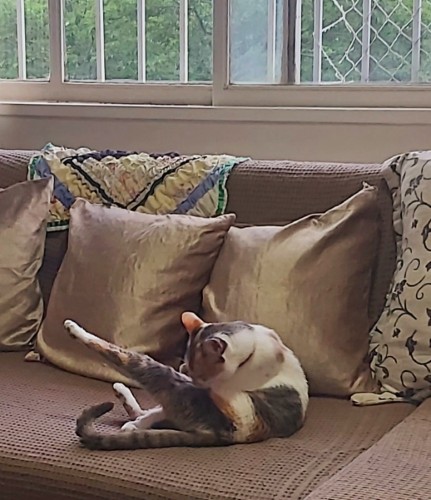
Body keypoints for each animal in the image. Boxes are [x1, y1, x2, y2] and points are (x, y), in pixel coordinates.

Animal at [64, 312, 308, 450]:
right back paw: (124, 399)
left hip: (175, 385)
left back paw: (76, 330)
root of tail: (223, 436)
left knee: (125, 358)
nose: (193, 380)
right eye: (190, 367)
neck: (255, 344)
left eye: (200, 374)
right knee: (149, 412)